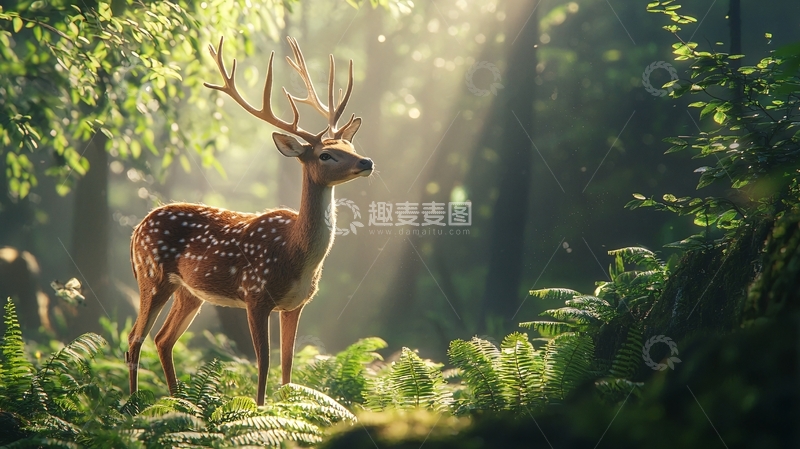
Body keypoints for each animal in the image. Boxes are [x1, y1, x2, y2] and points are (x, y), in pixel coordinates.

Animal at [126, 36, 373, 406]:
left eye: (350, 144)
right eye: (325, 154)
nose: (366, 161)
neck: (296, 255)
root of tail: (137, 229)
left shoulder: (296, 304)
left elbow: (288, 362)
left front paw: (287, 409)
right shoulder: (256, 294)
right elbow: (264, 361)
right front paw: (258, 409)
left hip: (190, 292)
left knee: (163, 339)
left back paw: (180, 403)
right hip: (151, 275)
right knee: (134, 339)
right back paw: (134, 407)